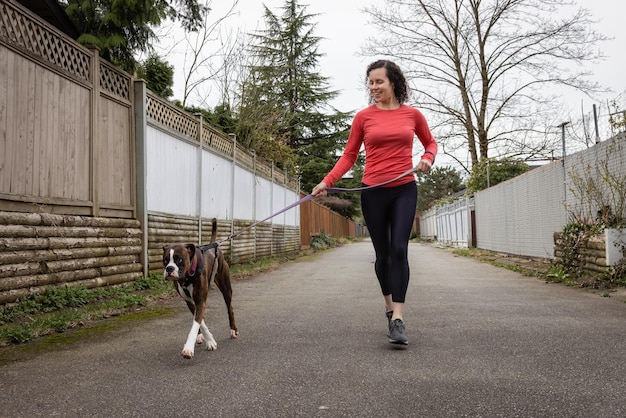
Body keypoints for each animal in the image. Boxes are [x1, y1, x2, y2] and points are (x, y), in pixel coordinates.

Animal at [162, 219, 238, 360]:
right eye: (165, 260)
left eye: (179, 259)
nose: (169, 268)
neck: (187, 277)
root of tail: (214, 246)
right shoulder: (191, 302)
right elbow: (199, 321)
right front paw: (209, 339)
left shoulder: (200, 300)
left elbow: (196, 323)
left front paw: (188, 348)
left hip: (226, 288)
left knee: (230, 308)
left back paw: (233, 330)